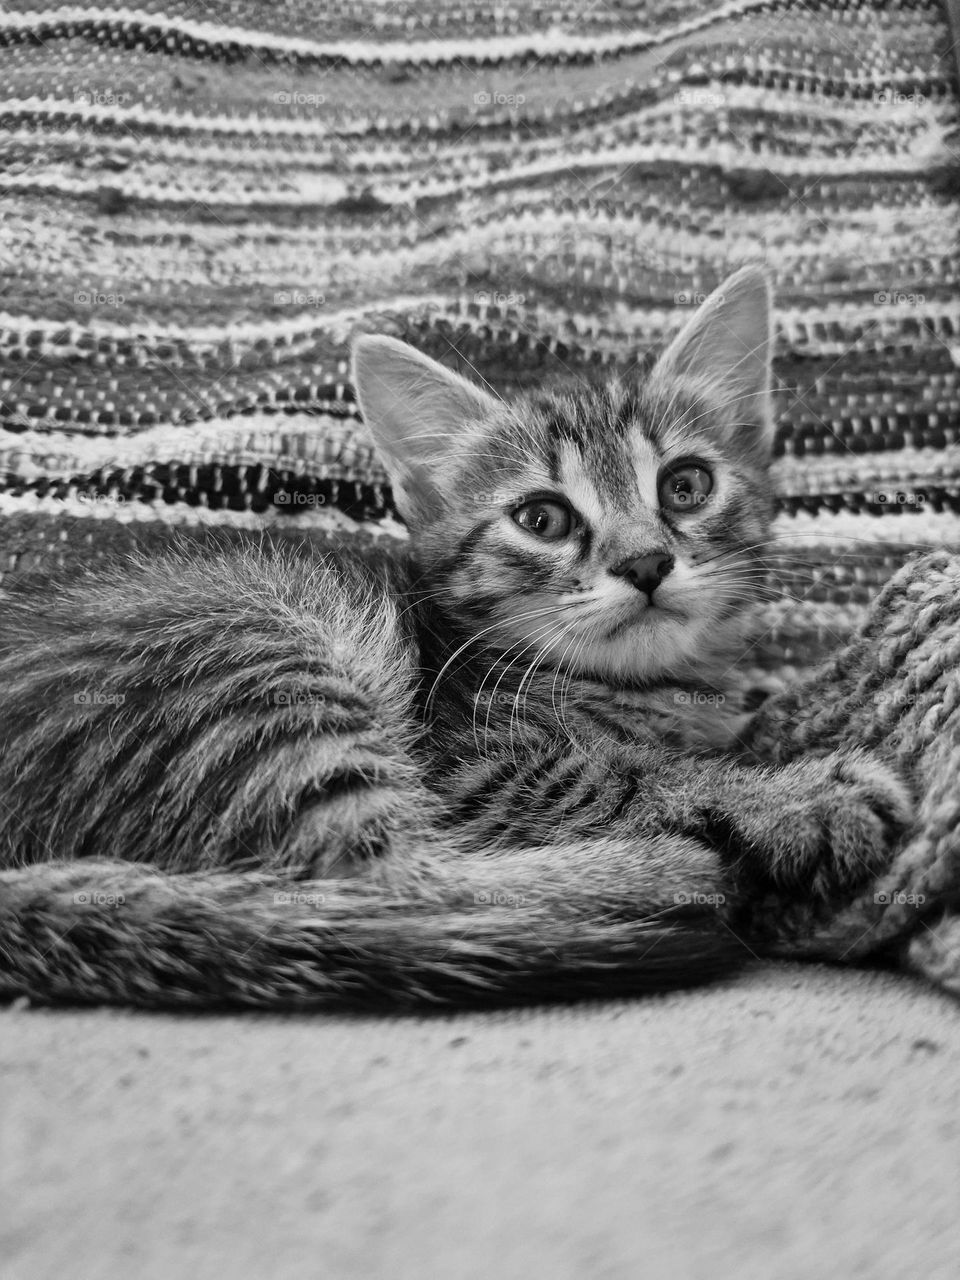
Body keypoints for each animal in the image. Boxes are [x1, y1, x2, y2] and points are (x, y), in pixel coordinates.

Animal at [0, 270, 916, 1008]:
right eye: (542, 519)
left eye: (686, 486)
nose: (647, 562)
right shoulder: (469, 762)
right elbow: (621, 772)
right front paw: (789, 795)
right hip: (267, 659)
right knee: (376, 883)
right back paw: (663, 874)